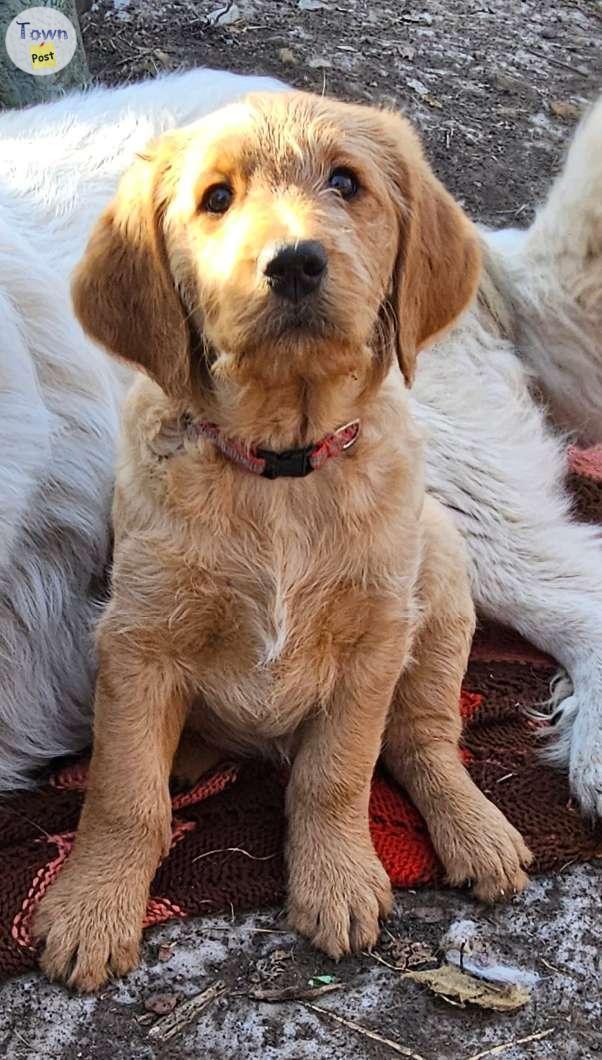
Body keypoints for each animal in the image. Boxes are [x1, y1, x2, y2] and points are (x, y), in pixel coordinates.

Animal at [34, 93, 532, 992]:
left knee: (424, 739)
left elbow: (337, 775)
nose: (295, 263)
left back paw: (477, 831)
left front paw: (337, 878)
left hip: (440, 581)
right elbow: (125, 794)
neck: (281, 471)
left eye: (346, 182)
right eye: (216, 199)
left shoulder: (374, 644)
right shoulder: (137, 640)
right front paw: (93, 905)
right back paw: (189, 756)